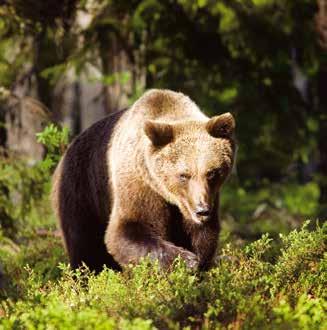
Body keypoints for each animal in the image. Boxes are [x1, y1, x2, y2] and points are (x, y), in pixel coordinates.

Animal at [52, 89, 236, 272]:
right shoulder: (139, 184)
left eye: (212, 172)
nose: (201, 210)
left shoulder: (207, 198)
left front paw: (200, 263)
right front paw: (185, 260)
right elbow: (128, 228)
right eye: (184, 175)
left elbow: (203, 235)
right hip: (81, 188)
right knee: (84, 243)